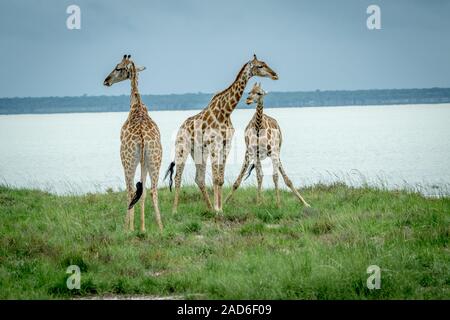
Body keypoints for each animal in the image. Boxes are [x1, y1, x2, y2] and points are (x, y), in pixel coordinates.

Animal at [104, 54, 163, 230]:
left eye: (118, 67)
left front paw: (128, 227)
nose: (106, 81)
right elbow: (142, 192)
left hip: (128, 159)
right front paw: (142, 227)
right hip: (154, 158)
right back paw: (160, 227)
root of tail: (143, 138)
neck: (136, 105)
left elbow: (131, 191)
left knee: (130, 190)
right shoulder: (144, 161)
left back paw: (129, 228)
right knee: (152, 190)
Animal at [165, 55, 278, 214]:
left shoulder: (226, 145)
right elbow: (215, 178)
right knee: (178, 176)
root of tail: (181, 127)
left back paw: (209, 207)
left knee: (199, 179)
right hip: (182, 148)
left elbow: (220, 179)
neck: (226, 111)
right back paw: (175, 210)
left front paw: (219, 208)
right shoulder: (214, 144)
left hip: (199, 151)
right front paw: (218, 209)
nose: (275, 75)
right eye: (260, 66)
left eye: (265, 63)